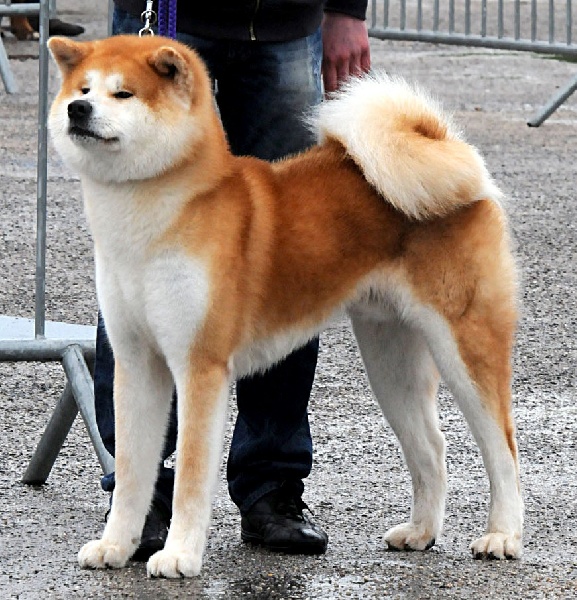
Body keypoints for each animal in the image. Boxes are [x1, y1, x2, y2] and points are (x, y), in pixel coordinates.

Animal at [48, 34, 523, 578]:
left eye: (122, 93)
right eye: (82, 90)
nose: (78, 110)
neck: (151, 215)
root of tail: (451, 153)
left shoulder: (200, 366)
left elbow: (190, 471)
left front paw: (180, 554)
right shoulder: (136, 362)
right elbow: (130, 472)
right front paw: (118, 545)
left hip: (465, 345)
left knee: (503, 450)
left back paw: (503, 536)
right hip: (390, 360)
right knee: (431, 448)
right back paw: (420, 532)